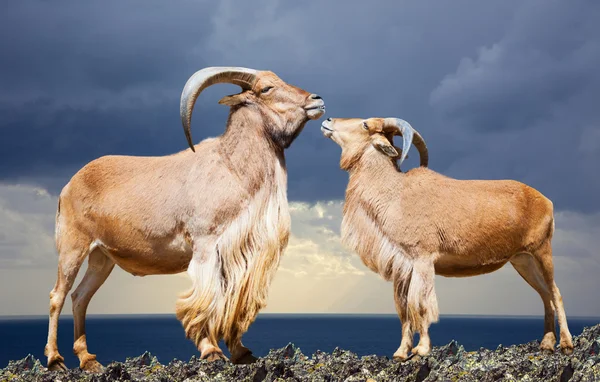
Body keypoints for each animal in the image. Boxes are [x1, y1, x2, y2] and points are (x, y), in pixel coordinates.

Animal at [44, 67, 326, 372]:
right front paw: (211, 350)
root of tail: (68, 186)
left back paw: (88, 359)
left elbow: (232, 300)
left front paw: (241, 352)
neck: (232, 168)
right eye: (266, 89)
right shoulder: (206, 245)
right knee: (58, 295)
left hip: (102, 257)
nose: (317, 100)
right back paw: (55, 359)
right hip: (73, 247)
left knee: (80, 297)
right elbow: (208, 297)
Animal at [322, 116, 576, 358]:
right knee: (544, 294)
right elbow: (404, 309)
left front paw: (421, 349)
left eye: (365, 124)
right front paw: (401, 353)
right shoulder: (403, 266)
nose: (328, 121)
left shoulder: (423, 258)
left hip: (542, 251)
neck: (395, 194)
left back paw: (566, 343)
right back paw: (546, 344)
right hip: (522, 260)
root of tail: (546, 201)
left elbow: (421, 304)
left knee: (556, 293)